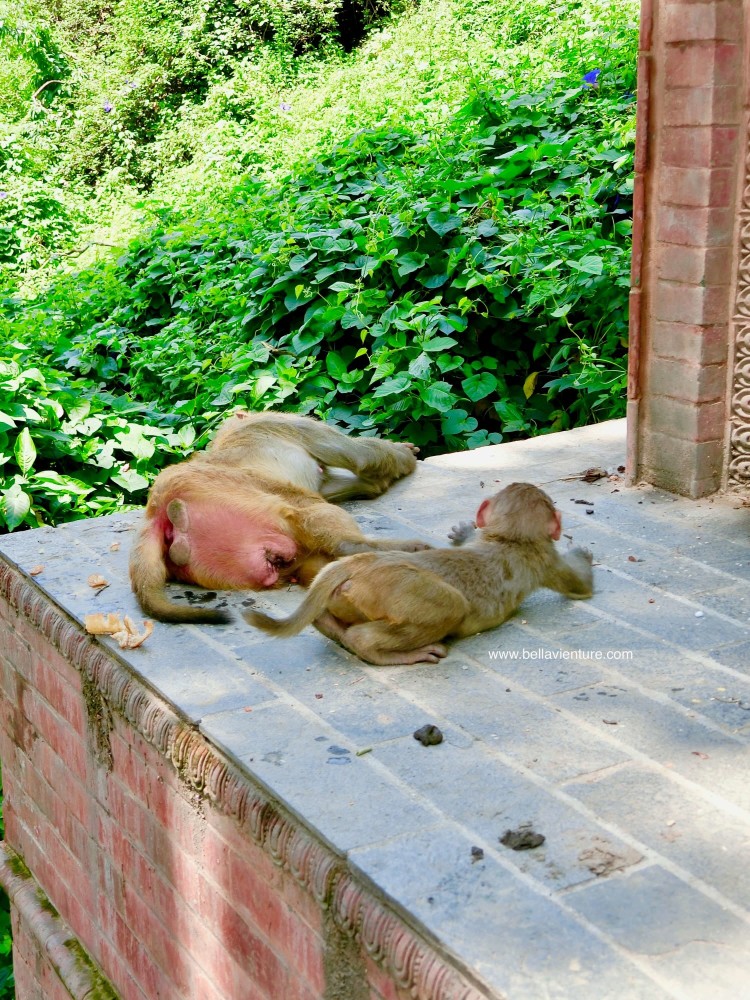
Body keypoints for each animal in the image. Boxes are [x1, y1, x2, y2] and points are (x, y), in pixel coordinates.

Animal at [129, 410, 430, 624]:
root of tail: (158, 509)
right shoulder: (285, 422)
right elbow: (360, 456)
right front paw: (403, 455)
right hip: (251, 501)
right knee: (313, 514)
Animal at [243, 482, 594, 665]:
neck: (509, 538)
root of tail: (359, 563)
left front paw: (463, 532)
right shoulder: (545, 557)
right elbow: (580, 586)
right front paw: (583, 556)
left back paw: (332, 628)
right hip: (396, 590)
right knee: (451, 605)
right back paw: (383, 651)